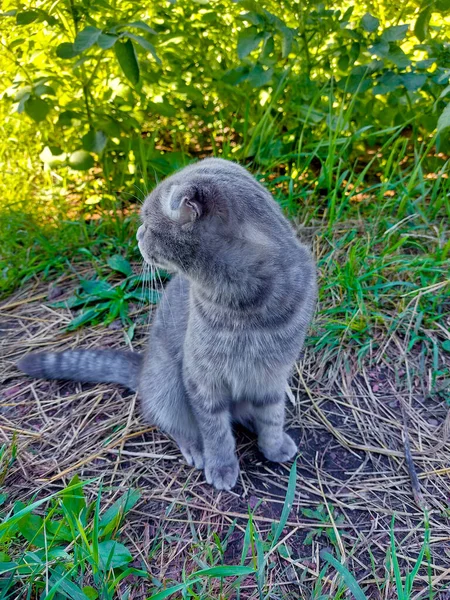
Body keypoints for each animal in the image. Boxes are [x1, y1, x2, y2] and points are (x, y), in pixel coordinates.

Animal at [17, 157, 316, 490]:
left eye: (149, 223)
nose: (138, 234)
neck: (246, 306)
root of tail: (144, 368)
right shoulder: (202, 379)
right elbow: (215, 430)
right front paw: (222, 465)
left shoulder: (272, 374)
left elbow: (272, 415)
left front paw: (273, 446)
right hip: (168, 382)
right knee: (173, 422)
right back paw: (196, 449)